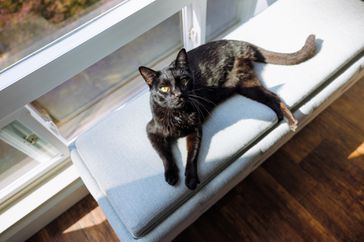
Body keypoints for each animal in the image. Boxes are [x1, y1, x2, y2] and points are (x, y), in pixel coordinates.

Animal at [139, 35, 316, 191]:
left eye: (183, 81)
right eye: (164, 88)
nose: (178, 94)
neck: (178, 114)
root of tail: (234, 42)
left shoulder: (196, 130)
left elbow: (192, 156)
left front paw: (191, 179)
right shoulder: (151, 131)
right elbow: (165, 154)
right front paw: (171, 175)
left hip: (246, 84)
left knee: (275, 96)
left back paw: (291, 121)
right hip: (248, 87)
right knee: (273, 97)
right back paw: (285, 118)